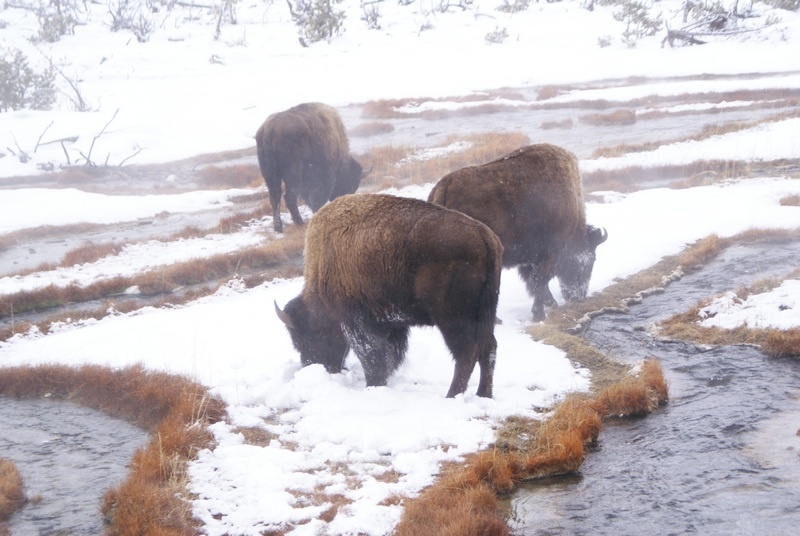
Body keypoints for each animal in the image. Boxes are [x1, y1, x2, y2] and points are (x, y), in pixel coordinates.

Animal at [256, 102, 366, 232]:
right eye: (350, 184)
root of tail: (270, 129)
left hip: (270, 174)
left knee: (275, 195)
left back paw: (278, 227)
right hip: (292, 174)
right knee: (289, 196)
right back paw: (299, 222)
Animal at [274, 193, 500, 398]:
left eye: (305, 337)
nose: (310, 364)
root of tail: (484, 235)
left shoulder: (357, 323)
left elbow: (372, 356)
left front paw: (373, 385)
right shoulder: (391, 324)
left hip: (452, 319)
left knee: (466, 354)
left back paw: (452, 396)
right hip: (484, 314)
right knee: (488, 348)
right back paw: (484, 394)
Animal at [432, 142, 608, 322]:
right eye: (591, 259)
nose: (578, 296)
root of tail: (444, 186)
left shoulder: (530, 260)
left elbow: (535, 284)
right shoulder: (550, 255)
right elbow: (539, 282)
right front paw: (541, 313)